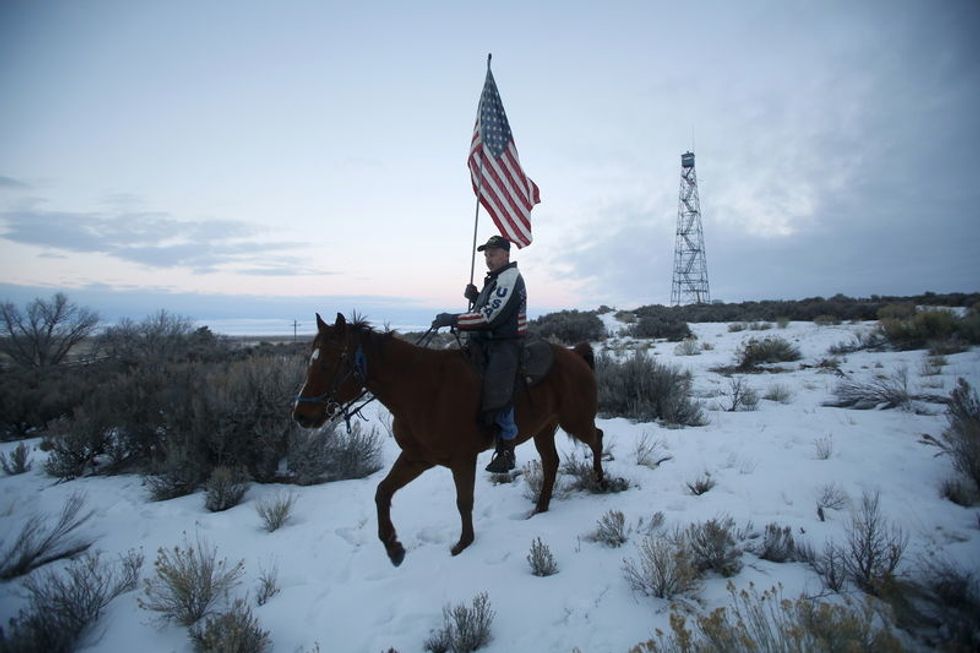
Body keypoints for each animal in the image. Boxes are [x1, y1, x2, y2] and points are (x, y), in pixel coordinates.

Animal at [290, 312, 600, 564]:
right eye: (311, 361)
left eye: (328, 363)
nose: (301, 415)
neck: (423, 389)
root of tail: (576, 353)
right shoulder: (416, 458)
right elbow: (382, 492)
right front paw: (394, 548)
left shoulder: (462, 459)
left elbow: (464, 501)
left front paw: (463, 544)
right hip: (544, 429)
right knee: (551, 462)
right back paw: (541, 507)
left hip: (576, 420)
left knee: (596, 438)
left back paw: (599, 481)